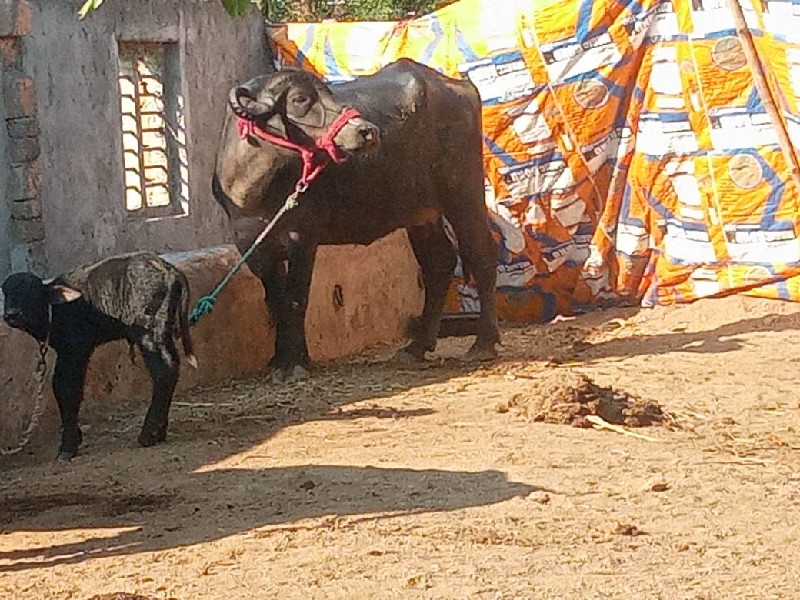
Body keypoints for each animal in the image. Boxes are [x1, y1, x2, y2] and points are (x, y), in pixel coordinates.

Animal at [2, 252, 196, 460]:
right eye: (6, 292)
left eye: (31, 291)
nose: (12, 314)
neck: (55, 311)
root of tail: (169, 270)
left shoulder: (74, 350)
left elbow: (65, 388)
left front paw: (68, 445)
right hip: (162, 332)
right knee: (172, 365)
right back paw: (160, 431)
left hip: (149, 332)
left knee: (164, 371)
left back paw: (148, 434)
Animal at [212, 58, 500, 382]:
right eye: (300, 99)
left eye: (328, 94)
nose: (367, 130)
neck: (255, 185)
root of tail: (458, 87)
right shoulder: (252, 244)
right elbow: (275, 302)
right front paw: (281, 359)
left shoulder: (303, 237)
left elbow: (296, 299)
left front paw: (294, 363)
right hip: (420, 212)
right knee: (438, 262)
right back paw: (416, 347)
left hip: (464, 194)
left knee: (481, 255)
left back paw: (483, 343)